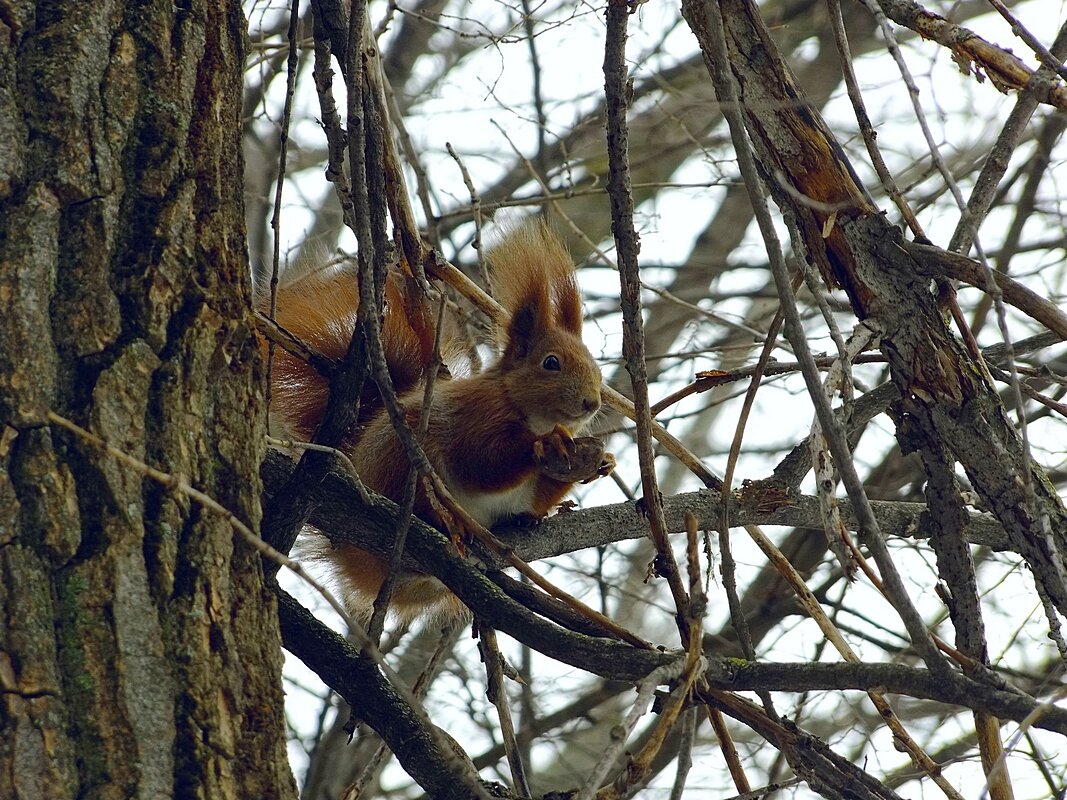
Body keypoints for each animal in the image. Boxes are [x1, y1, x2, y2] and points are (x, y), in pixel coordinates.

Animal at [260, 222, 610, 622]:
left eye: (595, 366)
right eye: (551, 363)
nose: (592, 402)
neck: (527, 411)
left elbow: (536, 494)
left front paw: (598, 463)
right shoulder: (475, 416)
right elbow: (483, 465)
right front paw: (544, 446)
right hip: (402, 459)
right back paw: (442, 520)